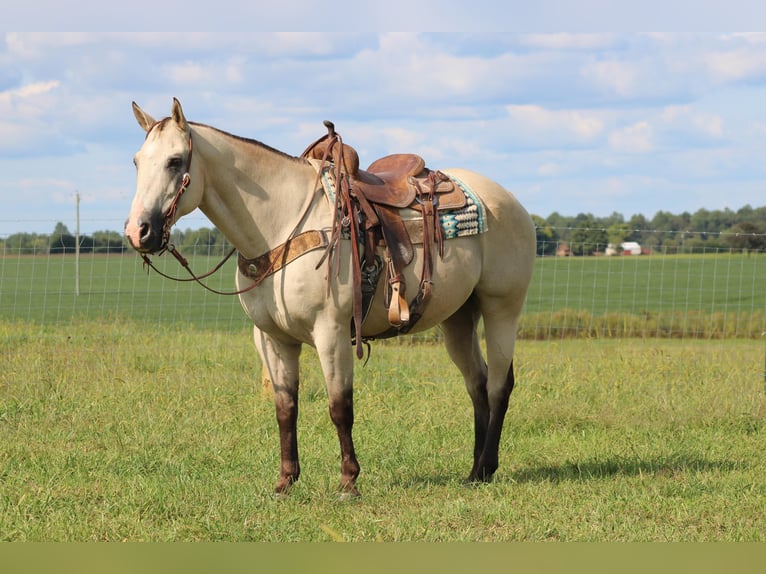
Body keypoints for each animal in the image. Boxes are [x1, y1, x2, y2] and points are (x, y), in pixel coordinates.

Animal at [124, 97, 536, 498]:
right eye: (137, 161)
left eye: (175, 161)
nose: (138, 231)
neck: (282, 225)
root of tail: (510, 201)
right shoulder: (274, 341)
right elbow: (285, 409)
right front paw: (285, 482)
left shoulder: (331, 333)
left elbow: (340, 408)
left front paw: (349, 482)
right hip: (459, 319)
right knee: (477, 385)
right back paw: (475, 472)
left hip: (502, 310)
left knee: (499, 385)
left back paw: (487, 466)